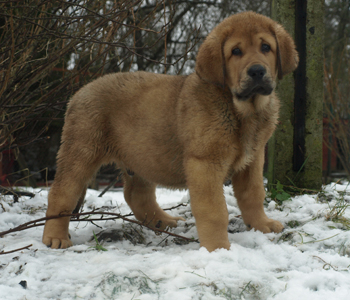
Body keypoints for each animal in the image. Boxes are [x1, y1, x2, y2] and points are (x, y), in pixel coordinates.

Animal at [41, 11, 298, 251]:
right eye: (236, 51)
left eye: (266, 47)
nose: (257, 71)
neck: (242, 110)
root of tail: (78, 93)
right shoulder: (205, 163)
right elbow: (215, 210)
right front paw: (217, 248)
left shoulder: (252, 159)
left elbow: (253, 195)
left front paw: (262, 225)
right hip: (82, 151)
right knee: (61, 193)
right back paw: (55, 237)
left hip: (141, 157)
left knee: (136, 195)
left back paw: (162, 221)